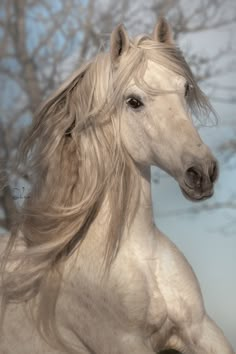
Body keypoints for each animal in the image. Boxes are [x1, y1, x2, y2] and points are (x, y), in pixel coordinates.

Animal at [0, 18, 235, 354]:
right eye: (133, 101)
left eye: (185, 89)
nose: (202, 172)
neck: (140, 255)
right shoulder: (123, 341)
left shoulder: (201, 327)